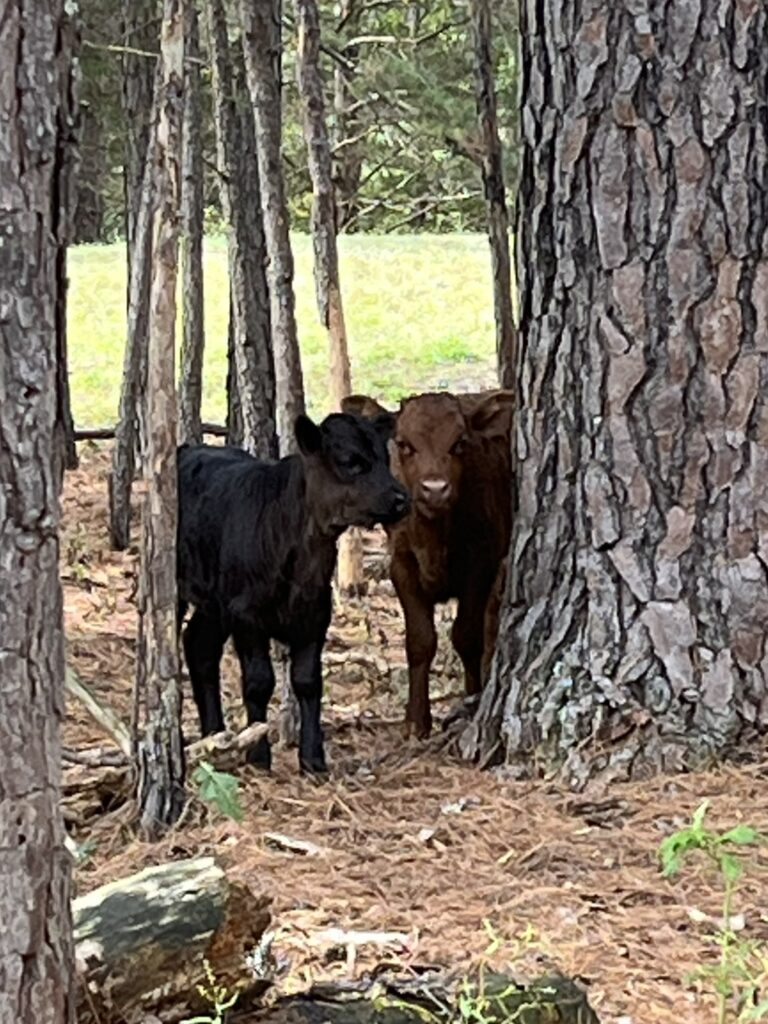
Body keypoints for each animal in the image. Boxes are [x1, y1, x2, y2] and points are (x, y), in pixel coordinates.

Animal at [177, 412, 410, 775]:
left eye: (385, 458)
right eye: (350, 461)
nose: (401, 499)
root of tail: (188, 449)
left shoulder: (316, 613)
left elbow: (307, 680)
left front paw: (313, 758)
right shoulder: (246, 613)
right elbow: (259, 682)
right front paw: (258, 755)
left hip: (215, 602)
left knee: (199, 645)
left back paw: (213, 736)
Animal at [342, 389, 514, 738]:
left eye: (460, 442)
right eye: (404, 444)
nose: (435, 489)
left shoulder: (480, 563)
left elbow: (467, 636)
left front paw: (470, 697)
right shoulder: (401, 564)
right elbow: (420, 641)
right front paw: (415, 721)